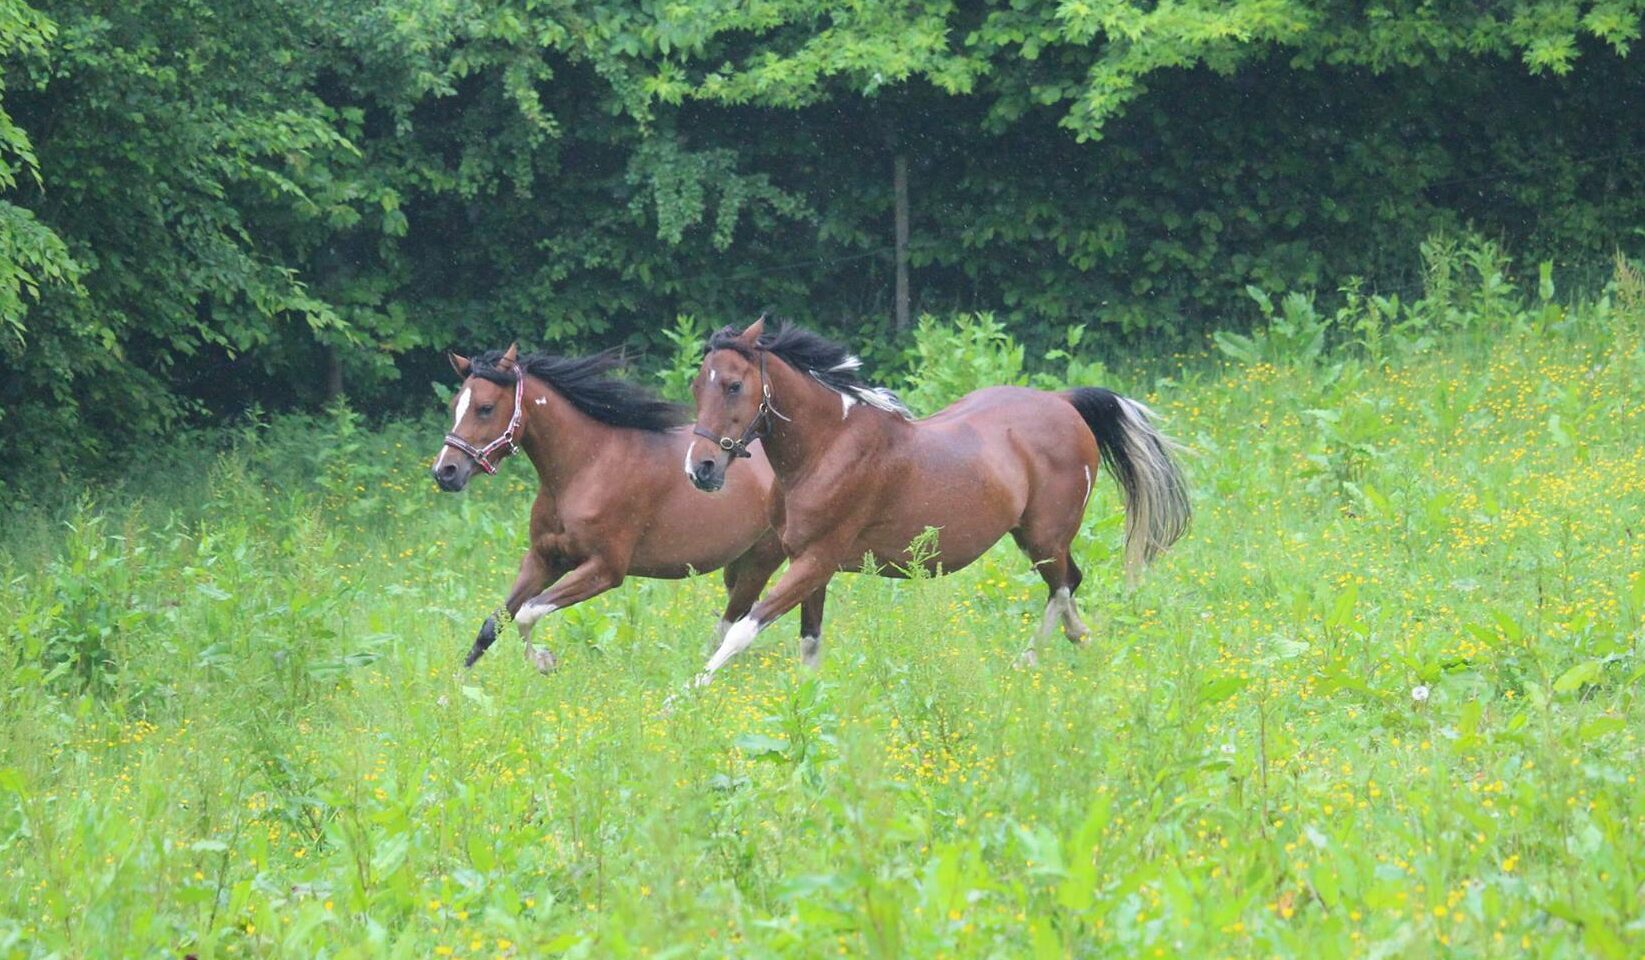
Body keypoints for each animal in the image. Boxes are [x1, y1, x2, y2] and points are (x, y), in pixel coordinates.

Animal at [431, 344, 823, 673]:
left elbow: (528, 613)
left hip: (763, 560)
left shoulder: (604, 570)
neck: (585, 468)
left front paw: (544, 661)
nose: (445, 471)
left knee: (735, 623)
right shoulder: (544, 559)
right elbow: (492, 624)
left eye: (485, 408)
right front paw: (452, 693)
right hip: (738, 565)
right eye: (454, 405)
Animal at [683, 319, 1190, 684]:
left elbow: (743, 629)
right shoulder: (806, 563)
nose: (700, 469)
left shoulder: (817, 560)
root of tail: (1063, 402)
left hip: (1046, 538)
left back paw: (1030, 659)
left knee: (1063, 585)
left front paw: (687, 695)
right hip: (1034, 538)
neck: (827, 448)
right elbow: (808, 643)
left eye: (733, 385)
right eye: (696, 386)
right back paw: (1077, 640)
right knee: (1069, 584)